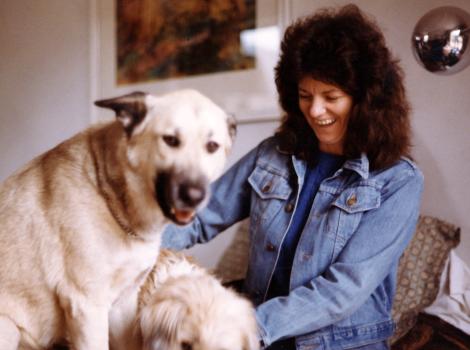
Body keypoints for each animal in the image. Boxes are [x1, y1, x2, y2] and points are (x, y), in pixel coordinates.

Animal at [0, 90, 235, 350]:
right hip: (8, 327)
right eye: (171, 140)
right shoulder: (88, 308)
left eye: (212, 146)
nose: (195, 195)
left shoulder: (124, 306)